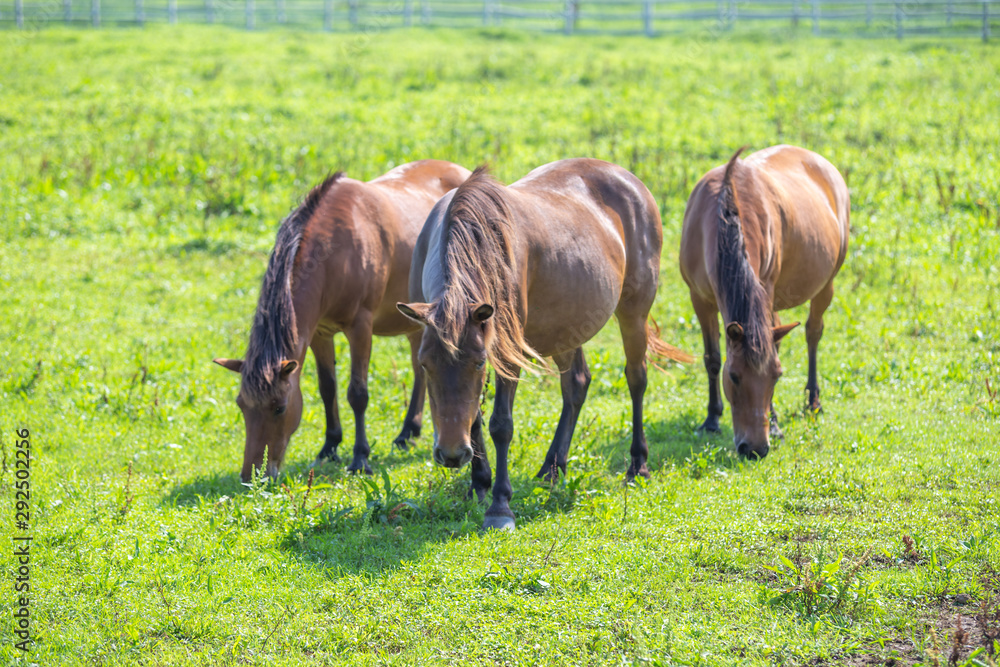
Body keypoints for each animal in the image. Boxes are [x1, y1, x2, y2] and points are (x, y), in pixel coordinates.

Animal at [212, 163, 468, 486]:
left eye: (279, 408)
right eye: (241, 405)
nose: (252, 477)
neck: (334, 251)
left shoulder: (360, 328)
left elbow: (357, 394)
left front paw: (360, 457)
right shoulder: (319, 333)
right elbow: (327, 388)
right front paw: (329, 448)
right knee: (419, 367)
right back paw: (408, 431)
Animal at [394, 162, 692, 532]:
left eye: (479, 363)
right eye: (424, 365)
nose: (451, 454)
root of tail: (627, 178)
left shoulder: (506, 354)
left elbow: (500, 425)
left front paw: (500, 506)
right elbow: (474, 417)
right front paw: (479, 483)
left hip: (633, 312)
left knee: (636, 378)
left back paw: (638, 466)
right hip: (566, 328)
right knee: (577, 384)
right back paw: (552, 467)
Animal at [680, 145, 844, 460]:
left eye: (777, 376)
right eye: (734, 377)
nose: (755, 449)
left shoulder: (764, 289)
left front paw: (776, 423)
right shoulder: (700, 299)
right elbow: (712, 358)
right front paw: (711, 418)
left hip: (826, 284)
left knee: (813, 332)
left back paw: (813, 400)